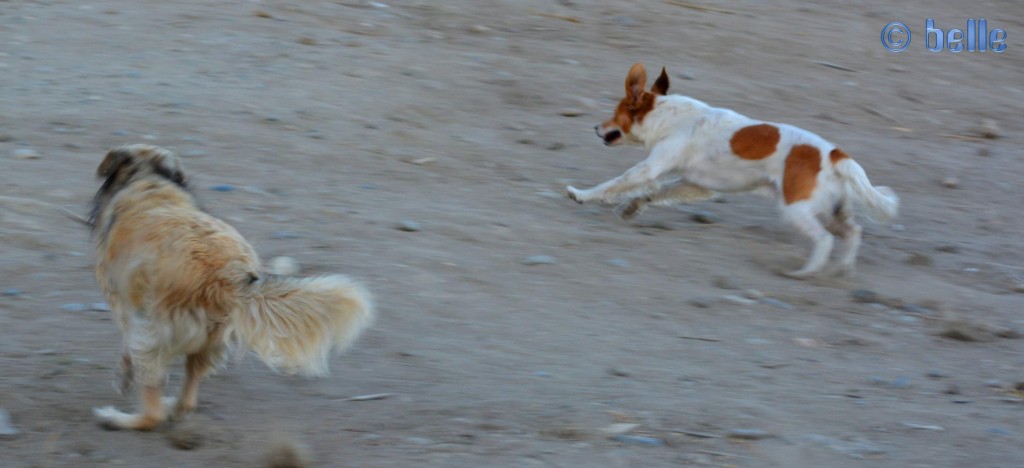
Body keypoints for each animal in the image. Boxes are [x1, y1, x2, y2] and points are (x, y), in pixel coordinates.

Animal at [89, 144, 376, 428]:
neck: (149, 183)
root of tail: (225, 278)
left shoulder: (127, 309)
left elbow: (125, 350)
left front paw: (123, 380)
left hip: (151, 334)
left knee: (152, 412)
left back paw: (116, 418)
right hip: (210, 340)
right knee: (188, 395)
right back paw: (174, 408)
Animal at [569, 63, 897, 278]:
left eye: (614, 114)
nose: (596, 127)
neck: (669, 117)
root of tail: (833, 154)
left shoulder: (648, 168)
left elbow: (614, 183)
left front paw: (581, 195)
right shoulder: (695, 185)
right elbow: (653, 194)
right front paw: (630, 209)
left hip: (795, 209)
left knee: (825, 240)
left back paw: (806, 272)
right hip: (832, 211)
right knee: (853, 232)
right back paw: (842, 269)